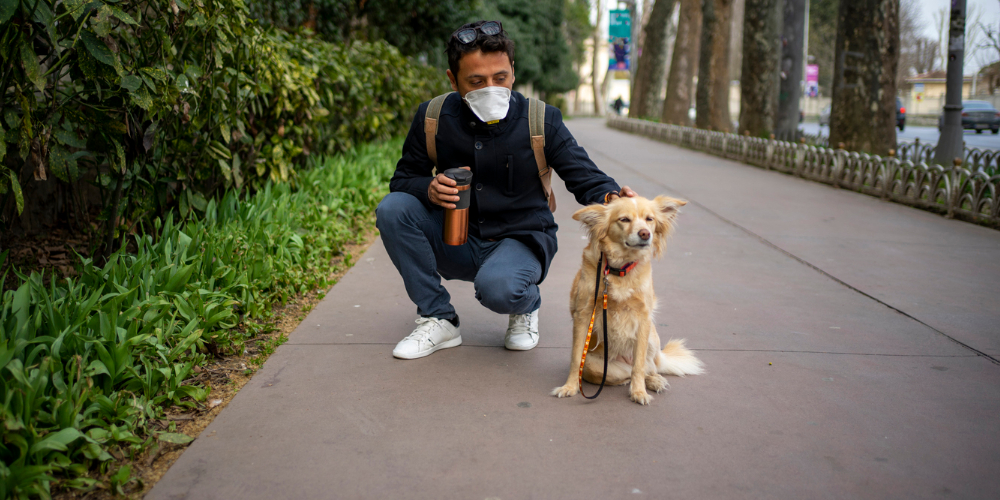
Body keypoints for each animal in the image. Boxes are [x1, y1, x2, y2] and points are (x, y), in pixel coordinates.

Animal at [556, 196, 704, 406]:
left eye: (650, 219)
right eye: (624, 219)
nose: (645, 233)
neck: (620, 269)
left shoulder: (643, 319)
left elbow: (639, 365)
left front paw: (639, 392)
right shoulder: (583, 316)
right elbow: (576, 358)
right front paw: (570, 387)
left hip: (652, 339)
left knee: (648, 367)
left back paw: (654, 380)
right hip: (595, 367)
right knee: (621, 374)